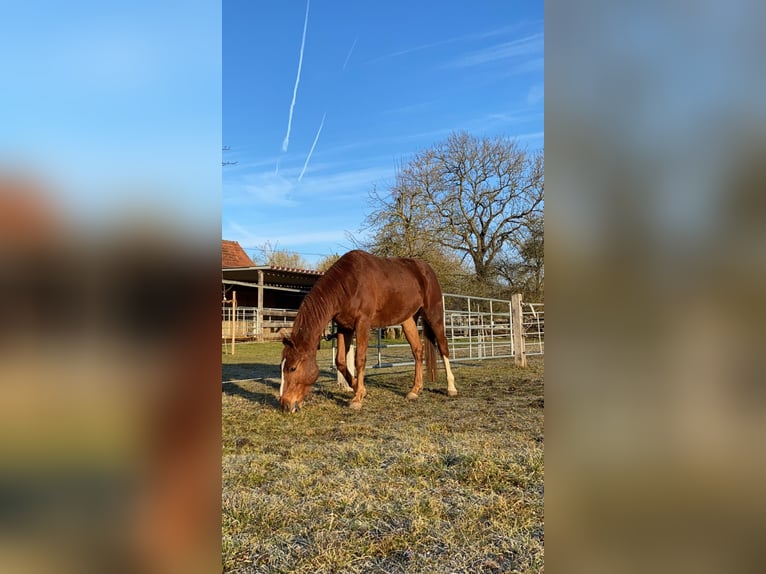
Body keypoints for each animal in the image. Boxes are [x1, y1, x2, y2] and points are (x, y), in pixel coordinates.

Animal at [279, 250, 457, 413]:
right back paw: (415, 390)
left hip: (434, 314)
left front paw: (357, 399)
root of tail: (427, 269)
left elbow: (359, 359)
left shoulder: (362, 323)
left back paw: (451, 388)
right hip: (408, 320)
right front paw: (360, 389)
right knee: (418, 350)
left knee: (443, 347)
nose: (285, 405)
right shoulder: (344, 327)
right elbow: (341, 361)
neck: (348, 284)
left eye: (292, 368)